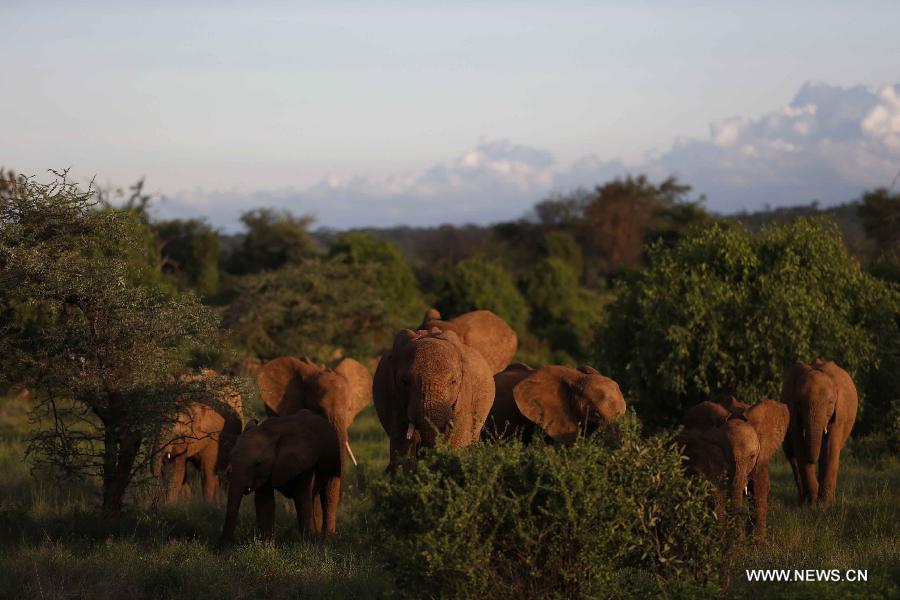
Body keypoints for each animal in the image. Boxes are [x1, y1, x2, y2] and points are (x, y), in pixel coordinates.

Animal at [220, 410, 342, 548]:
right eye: (231, 457)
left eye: (258, 463)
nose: (221, 547)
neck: (272, 433)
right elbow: (264, 501)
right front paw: (265, 546)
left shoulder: (304, 463)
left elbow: (302, 498)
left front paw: (307, 544)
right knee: (314, 496)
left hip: (334, 458)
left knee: (328, 494)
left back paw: (327, 538)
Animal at [376, 328, 496, 468]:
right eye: (405, 382)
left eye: (454, 382)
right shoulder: (394, 395)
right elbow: (401, 439)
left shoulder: (464, 395)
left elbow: (458, 435)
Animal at [684, 400, 788, 540]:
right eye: (727, 456)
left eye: (752, 456)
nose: (739, 538)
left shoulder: (761, 457)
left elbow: (760, 487)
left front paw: (757, 542)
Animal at [780, 358, 856, 504]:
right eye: (799, 402)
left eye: (830, 402)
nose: (812, 461)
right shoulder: (792, 410)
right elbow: (799, 447)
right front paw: (812, 502)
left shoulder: (839, 413)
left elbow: (830, 449)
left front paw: (826, 503)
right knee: (791, 455)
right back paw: (802, 500)